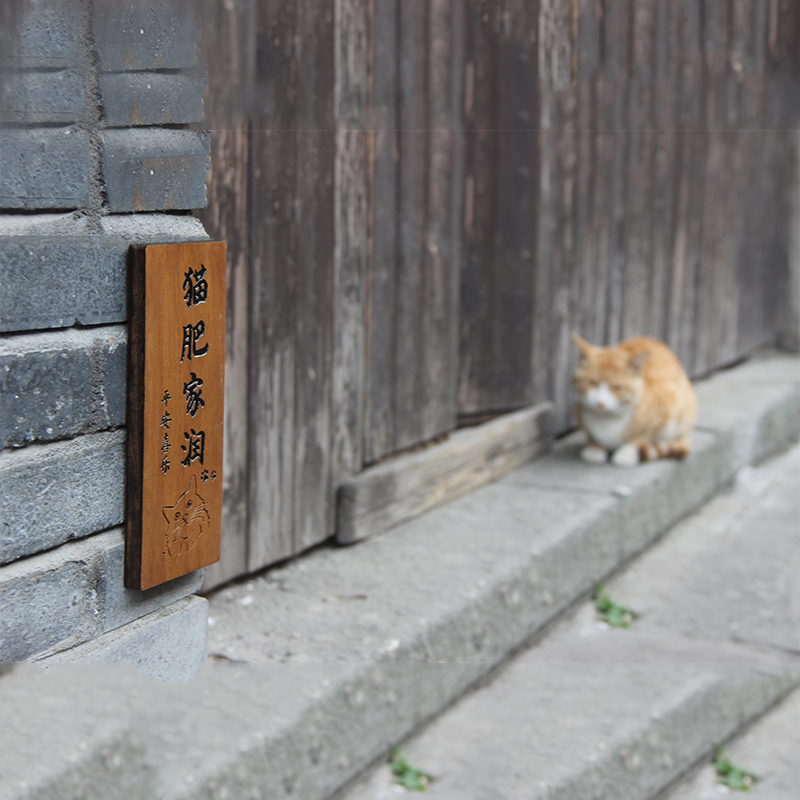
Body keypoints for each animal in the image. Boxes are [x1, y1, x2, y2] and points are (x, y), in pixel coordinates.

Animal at [572, 332, 696, 468]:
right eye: (592, 383)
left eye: (617, 388)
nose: (600, 403)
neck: (606, 418)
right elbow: (592, 437)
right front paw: (595, 448)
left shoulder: (663, 414)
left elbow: (639, 438)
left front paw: (626, 454)